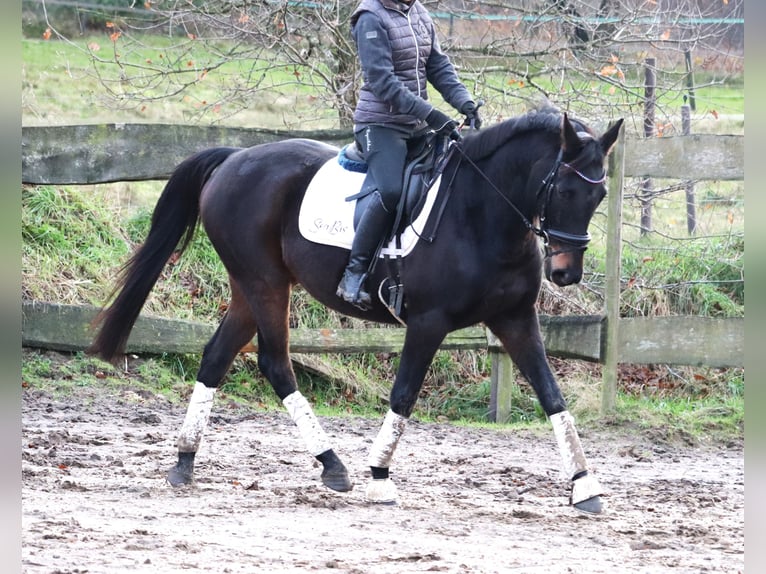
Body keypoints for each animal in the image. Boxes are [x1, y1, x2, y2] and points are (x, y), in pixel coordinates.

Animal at [90, 108, 628, 516]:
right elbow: (404, 395)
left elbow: (552, 396)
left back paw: (185, 460)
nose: (566, 273)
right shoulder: (428, 323)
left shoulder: (516, 320)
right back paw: (333, 465)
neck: (483, 213)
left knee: (217, 356)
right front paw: (380, 477)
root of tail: (234, 159)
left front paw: (585, 486)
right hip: (265, 284)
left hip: (250, 287)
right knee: (275, 362)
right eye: (563, 190)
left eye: (599, 194)